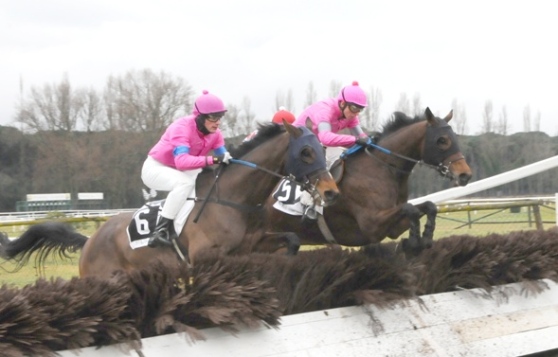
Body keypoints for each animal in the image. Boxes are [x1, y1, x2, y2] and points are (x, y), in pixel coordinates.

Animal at [0, 122, 342, 278]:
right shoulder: (205, 256)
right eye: (306, 152)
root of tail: (90, 240)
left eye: (322, 150)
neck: (234, 199)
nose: (331, 191)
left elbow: (292, 240)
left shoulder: (255, 242)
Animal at [256, 107, 474, 254]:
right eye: (442, 140)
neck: (382, 167)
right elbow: (411, 208)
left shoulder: (392, 227)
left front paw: (425, 238)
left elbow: (428, 206)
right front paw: (414, 243)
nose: (465, 174)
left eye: (454, 137)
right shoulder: (372, 224)